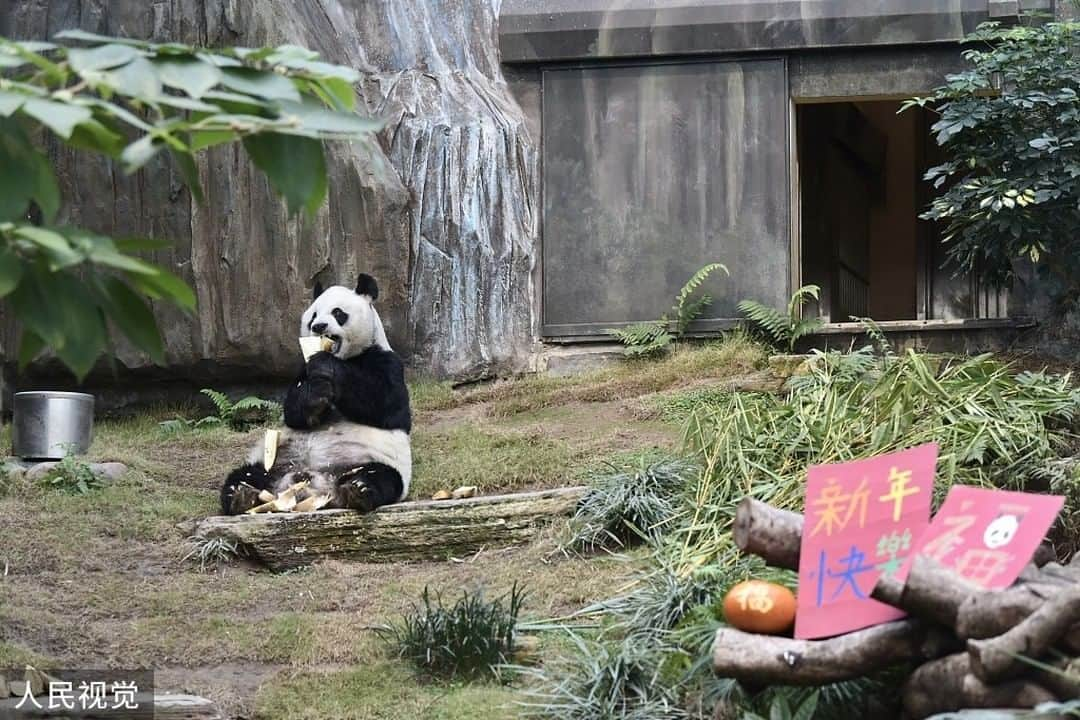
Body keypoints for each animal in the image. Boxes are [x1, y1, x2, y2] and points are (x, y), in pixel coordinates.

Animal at [217, 273, 410, 515]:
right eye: (313, 316)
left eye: (338, 313)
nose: (319, 326)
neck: (346, 357)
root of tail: (314, 485)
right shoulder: (302, 368)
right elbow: (294, 411)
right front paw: (315, 396)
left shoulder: (387, 361)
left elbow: (386, 405)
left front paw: (328, 368)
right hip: (270, 464)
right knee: (243, 475)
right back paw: (241, 495)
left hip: (369, 461)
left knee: (382, 477)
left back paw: (358, 490)